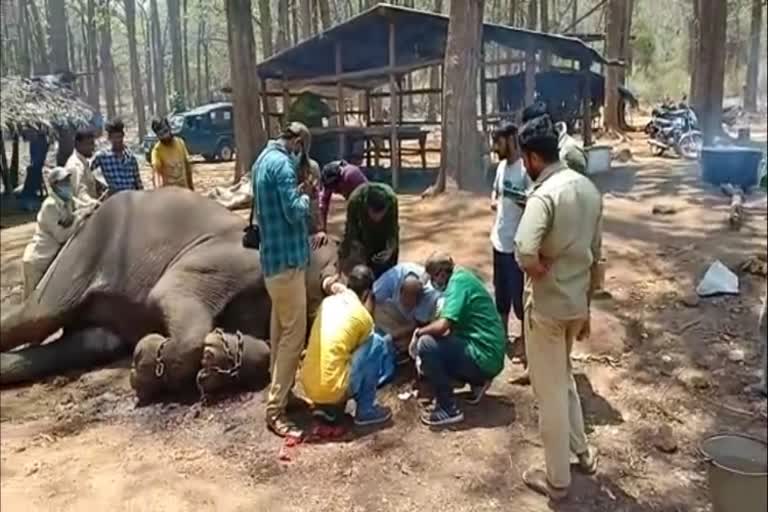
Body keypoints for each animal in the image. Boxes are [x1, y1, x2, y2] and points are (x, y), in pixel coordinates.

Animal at [0, 186, 340, 402]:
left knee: (87, 344)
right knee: (38, 317)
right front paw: (144, 369)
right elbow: (170, 291)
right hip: (83, 252)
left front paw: (212, 359)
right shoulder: (233, 257)